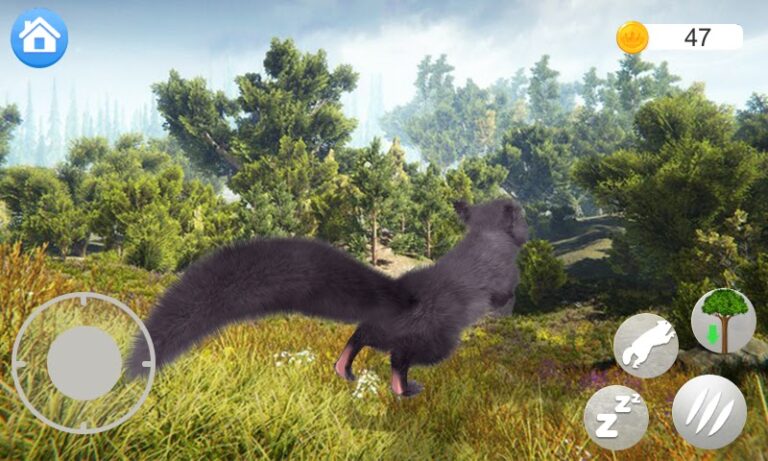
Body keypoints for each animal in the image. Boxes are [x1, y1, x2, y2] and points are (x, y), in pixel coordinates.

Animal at [127, 199, 528, 397]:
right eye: (517, 211)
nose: (521, 209)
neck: (485, 235)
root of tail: (399, 295)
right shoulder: (505, 277)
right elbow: (505, 294)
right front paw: (505, 309)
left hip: (383, 329)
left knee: (360, 337)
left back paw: (344, 370)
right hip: (436, 340)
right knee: (398, 359)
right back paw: (405, 389)